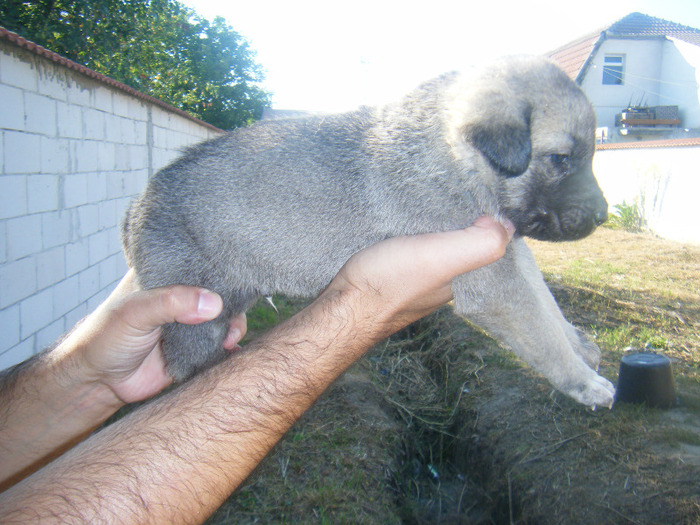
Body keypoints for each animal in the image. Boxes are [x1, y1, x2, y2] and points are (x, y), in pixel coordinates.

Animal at [123, 57, 616, 410]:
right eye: (560, 159)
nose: (602, 215)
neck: (453, 154)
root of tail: (136, 206)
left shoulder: (511, 252)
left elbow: (546, 305)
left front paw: (579, 346)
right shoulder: (493, 280)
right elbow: (539, 330)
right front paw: (582, 381)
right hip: (198, 310)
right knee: (186, 362)